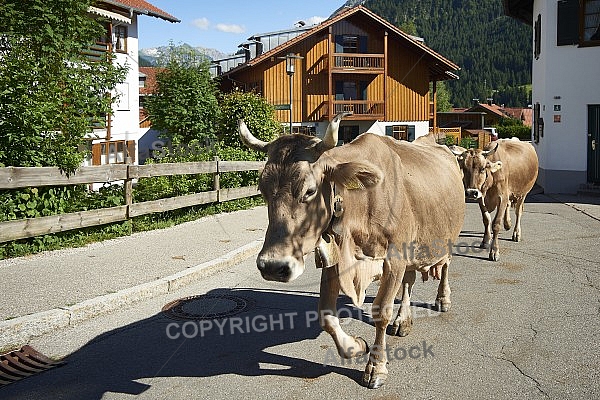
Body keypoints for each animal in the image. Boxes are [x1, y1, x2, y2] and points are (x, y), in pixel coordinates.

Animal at [239, 114, 464, 390]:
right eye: (262, 190)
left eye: (309, 190)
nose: (272, 266)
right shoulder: (335, 259)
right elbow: (326, 314)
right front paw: (355, 346)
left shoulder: (394, 258)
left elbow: (381, 311)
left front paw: (376, 367)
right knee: (409, 282)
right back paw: (403, 320)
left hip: (448, 237)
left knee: (445, 267)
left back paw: (443, 299)